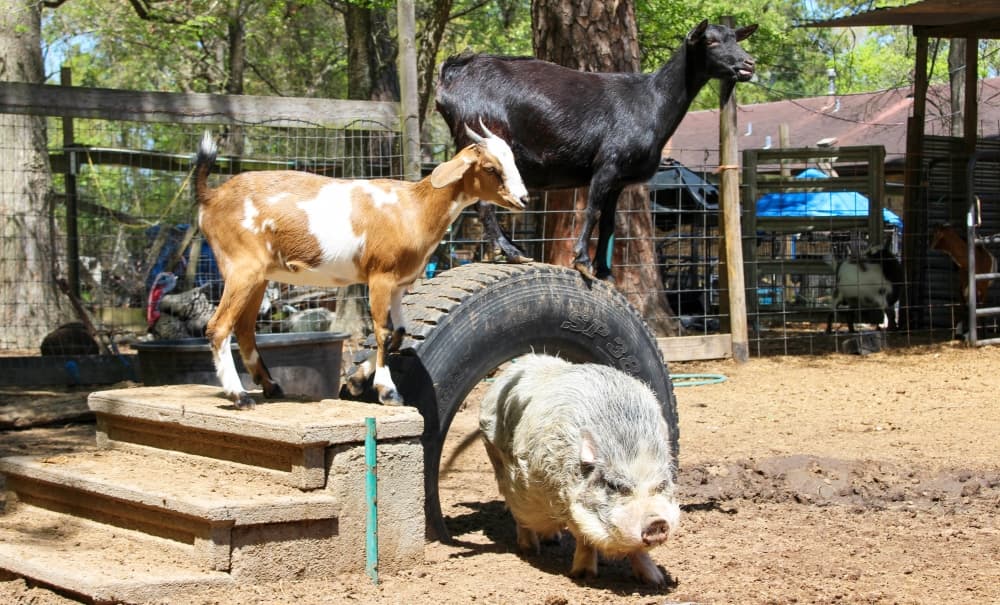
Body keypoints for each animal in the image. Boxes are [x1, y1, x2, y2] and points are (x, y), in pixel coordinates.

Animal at [194, 126, 528, 408]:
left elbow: (399, 332)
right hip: (242, 268)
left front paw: (355, 382)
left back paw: (270, 386)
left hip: (260, 276)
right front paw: (388, 391)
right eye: (490, 168)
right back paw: (239, 396)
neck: (414, 208)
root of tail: (211, 196)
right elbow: (382, 331)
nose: (523, 199)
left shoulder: (399, 284)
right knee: (218, 327)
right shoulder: (380, 276)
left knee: (244, 328)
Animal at [435, 20, 757, 280]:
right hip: (484, 139)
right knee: (482, 203)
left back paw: (514, 248)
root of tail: (450, 80)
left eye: (735, 38)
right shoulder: (607, 165)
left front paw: (605, 271)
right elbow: (591, 211)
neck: (652, 101)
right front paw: (582, 261)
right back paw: (511, 251)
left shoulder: (619, 181)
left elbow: (609, 222)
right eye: (710, 41)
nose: (748, 64)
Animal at [479, 354, 680, 584]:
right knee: (519, 512)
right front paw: (583, 576)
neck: (628, 443)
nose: (656, 522)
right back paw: (530, 550)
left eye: (661, 485)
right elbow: (584, 538)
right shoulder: (564, 498)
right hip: (499, 462)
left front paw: (656, 581)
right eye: (614, 485)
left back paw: (552, 539)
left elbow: (638, 551)